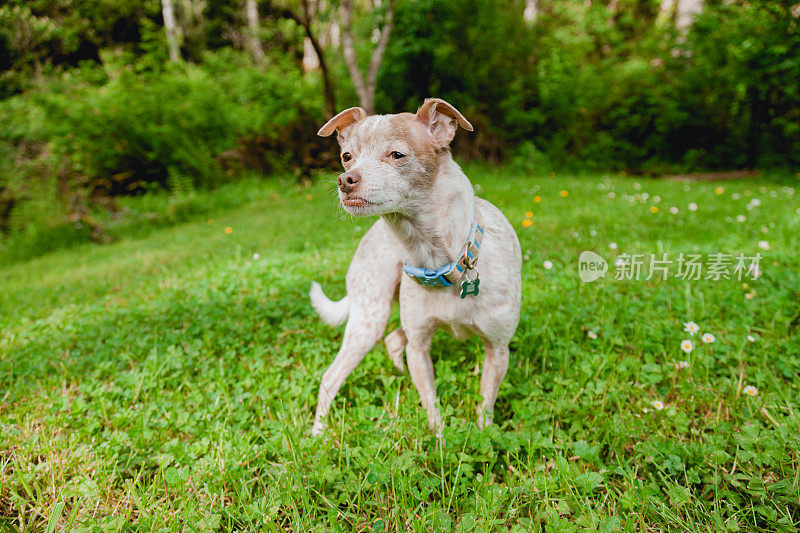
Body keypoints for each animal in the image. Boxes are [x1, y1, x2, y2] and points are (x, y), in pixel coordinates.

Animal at [310, 97, 520, 434]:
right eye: (346, 157)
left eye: (397, 154)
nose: (345, 180)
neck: (438, 258)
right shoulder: (419, 347)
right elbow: (433, 408)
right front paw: (441, 443)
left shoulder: (498, 350)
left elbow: (485, 406)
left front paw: (484, 437)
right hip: (370, 319)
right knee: (331, 377)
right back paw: (317, 434)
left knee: (393, 341)